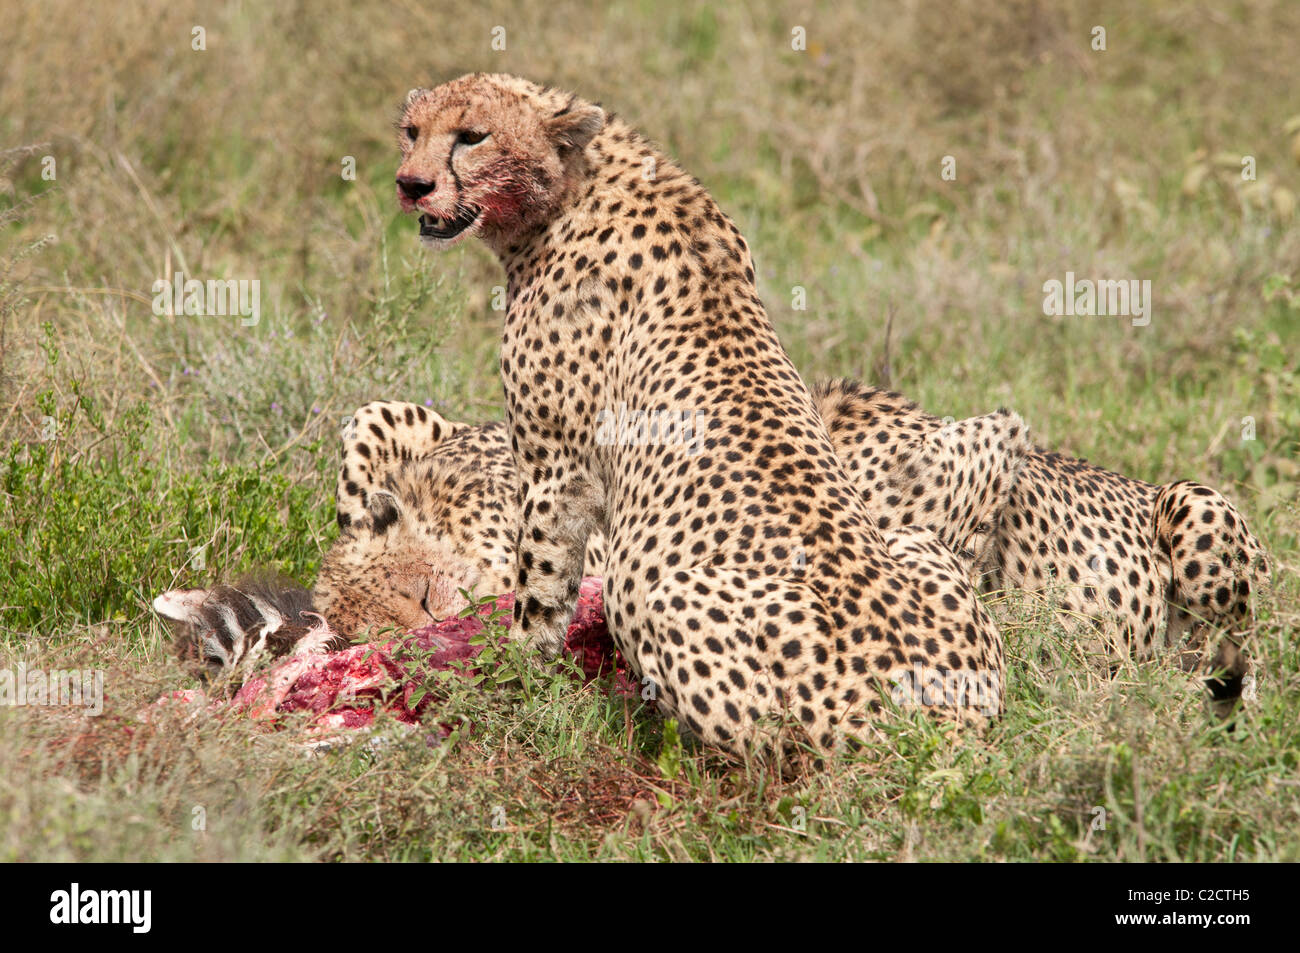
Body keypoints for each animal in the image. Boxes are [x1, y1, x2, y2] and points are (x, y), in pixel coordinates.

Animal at [390, 74, 998, 754]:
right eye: (412, 131)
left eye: (473, 136)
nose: (410, 184)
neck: (574, 186)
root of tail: (937, 718)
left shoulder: (557, 470)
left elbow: (541, 587)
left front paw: (516, 680)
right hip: (917, 541)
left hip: (658, 592)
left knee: (771, 747)